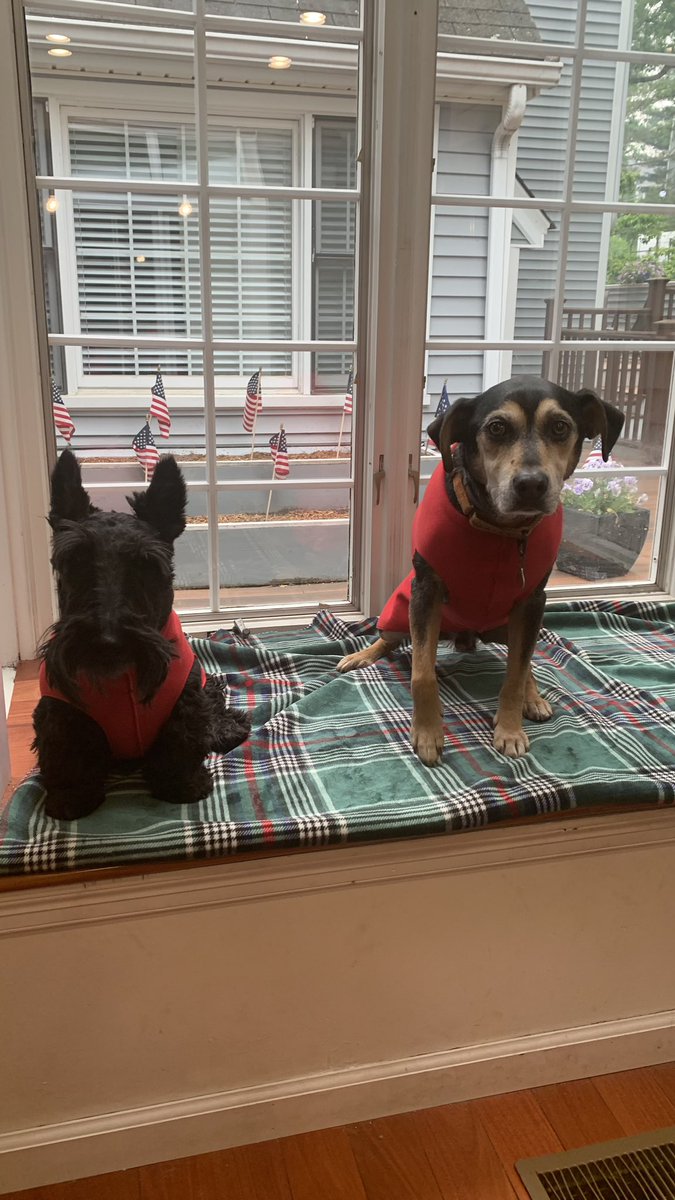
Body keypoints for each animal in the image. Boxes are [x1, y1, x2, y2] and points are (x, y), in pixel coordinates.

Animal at [338, 374, 624, 763]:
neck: (500, 529)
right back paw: (360, 655)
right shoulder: (425, 591)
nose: (531, 484)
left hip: (510, 625)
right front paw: (427, 734)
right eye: (497, 427)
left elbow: (516, 673)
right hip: (400, 616)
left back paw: (534, 698)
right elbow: (422, 674)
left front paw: (511, 728)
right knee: (389, 640)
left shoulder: (532, 602)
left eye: (561, 427)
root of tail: (465, 636)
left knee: (525, 662)